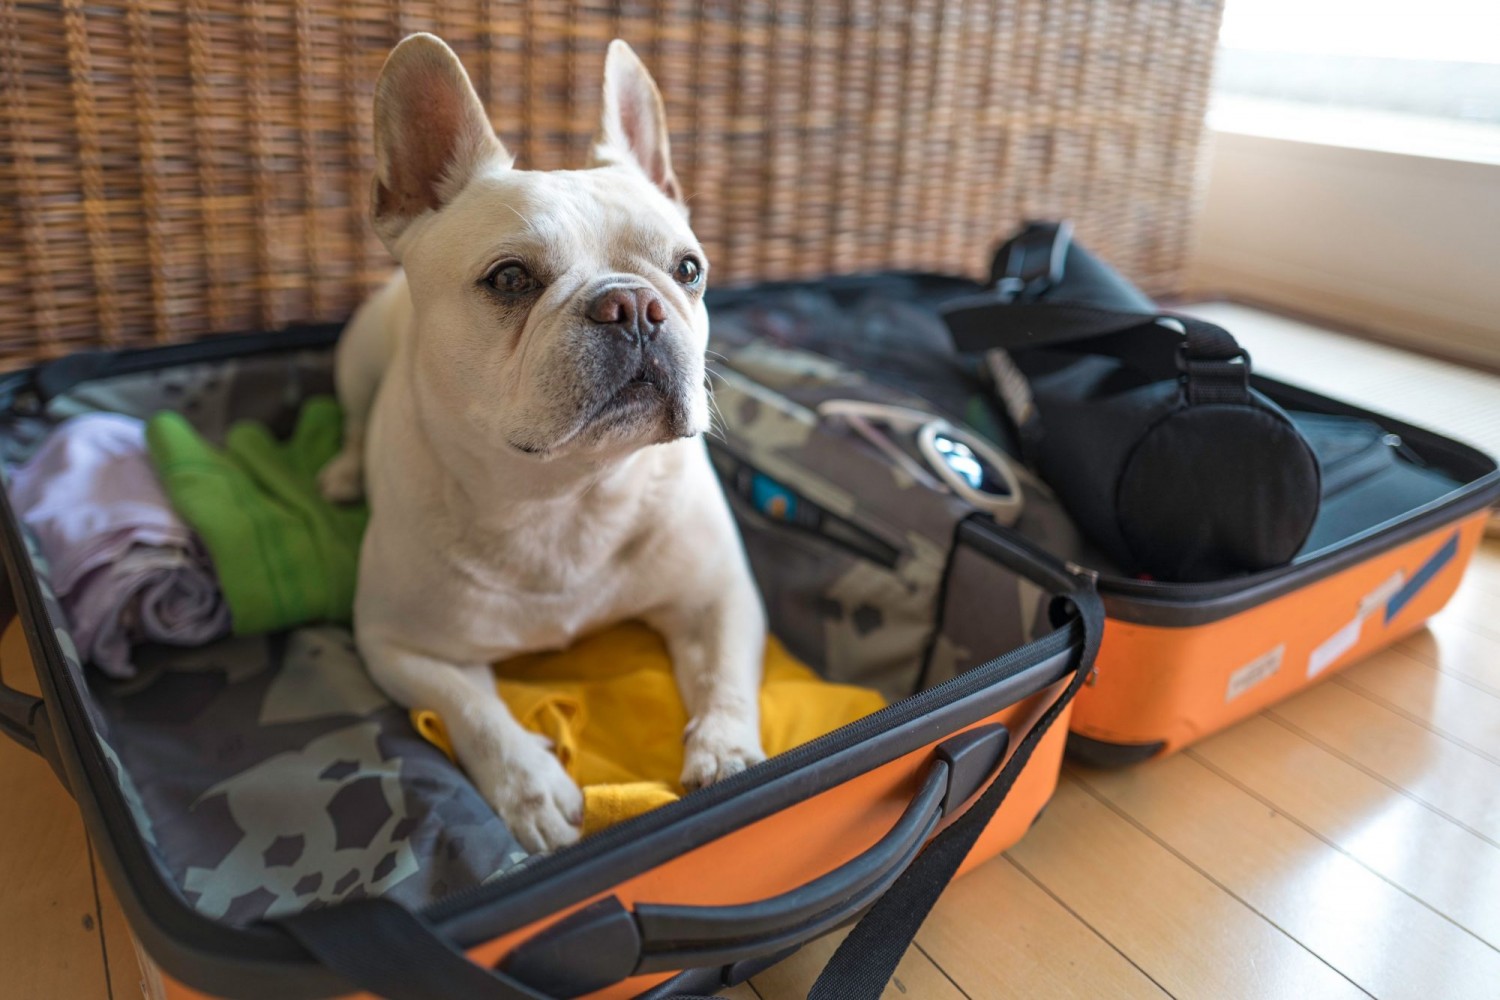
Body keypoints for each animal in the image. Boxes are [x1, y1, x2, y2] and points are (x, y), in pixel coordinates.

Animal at [322, 35, 768, 857]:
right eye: (509, 279)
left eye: (689, 269)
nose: (635, 304)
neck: (565, 496)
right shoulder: (398, 645)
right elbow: (472, 712)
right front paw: (531, 792)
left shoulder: (717, 595)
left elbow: (724, 676)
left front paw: (726, 755)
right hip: (358, 356)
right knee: (350, 416)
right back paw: (340, 471)